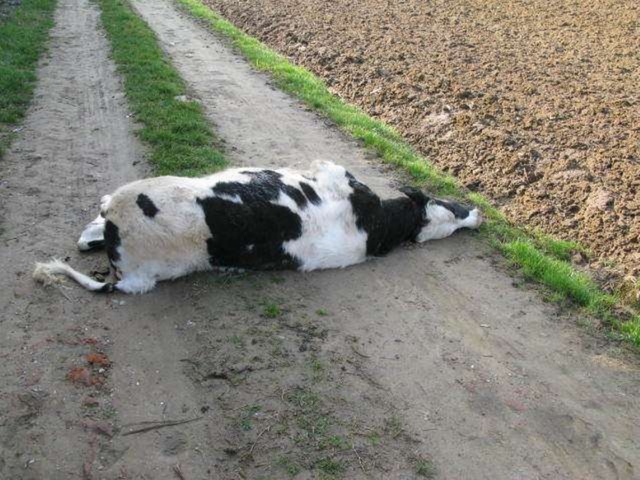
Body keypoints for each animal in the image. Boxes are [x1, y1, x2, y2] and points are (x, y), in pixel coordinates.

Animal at [31, 163, 480, 294]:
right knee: (88, 236)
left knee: (97, 220)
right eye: (451, 203)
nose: (477, 213)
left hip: (134, 195)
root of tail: (127, 276)